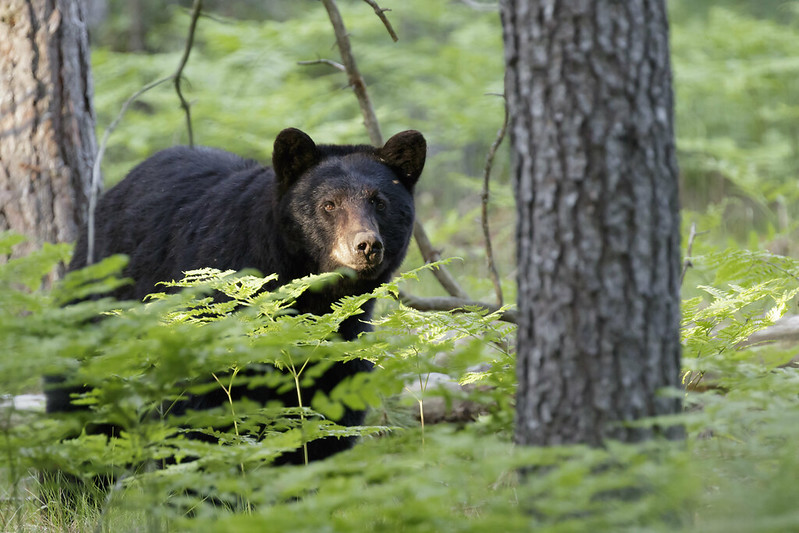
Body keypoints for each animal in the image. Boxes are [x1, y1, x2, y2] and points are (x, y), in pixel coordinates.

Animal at [45, 128, 424, 462]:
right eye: (329, 204)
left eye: (379, 202)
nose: (366, 245)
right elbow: (201, 409)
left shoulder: (341, 341)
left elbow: (329, 420)